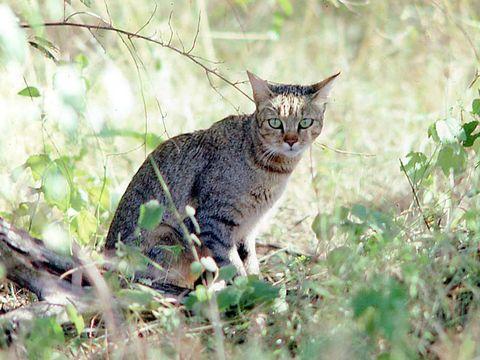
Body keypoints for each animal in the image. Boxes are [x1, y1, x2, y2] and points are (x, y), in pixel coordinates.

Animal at [105, 71, 338, 288]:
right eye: (275, 123)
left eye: (305, 123)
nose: (291, 140)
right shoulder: (213, 221)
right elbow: (231, 264)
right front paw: (246, 290)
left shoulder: (248, 228)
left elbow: (250, 261)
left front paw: (257, 283)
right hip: (167, 233)